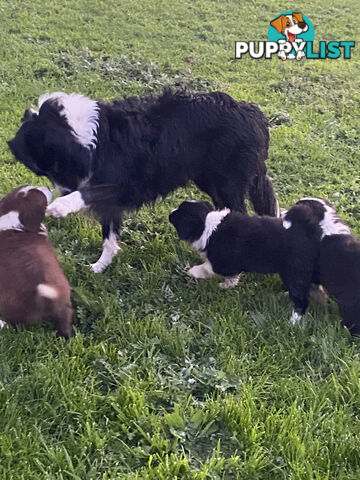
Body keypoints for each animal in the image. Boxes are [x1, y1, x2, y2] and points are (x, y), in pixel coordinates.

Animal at [7, 88, 278, 272]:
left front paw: (61, 206)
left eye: (54, 167)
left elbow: (88, 193)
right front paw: (100, 267)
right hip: (211, 181)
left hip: (227, 183)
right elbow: (109, 234)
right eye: (45, 171)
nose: (61, 191)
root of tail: (253, 113)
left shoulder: (126, 186)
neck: (89, 137)